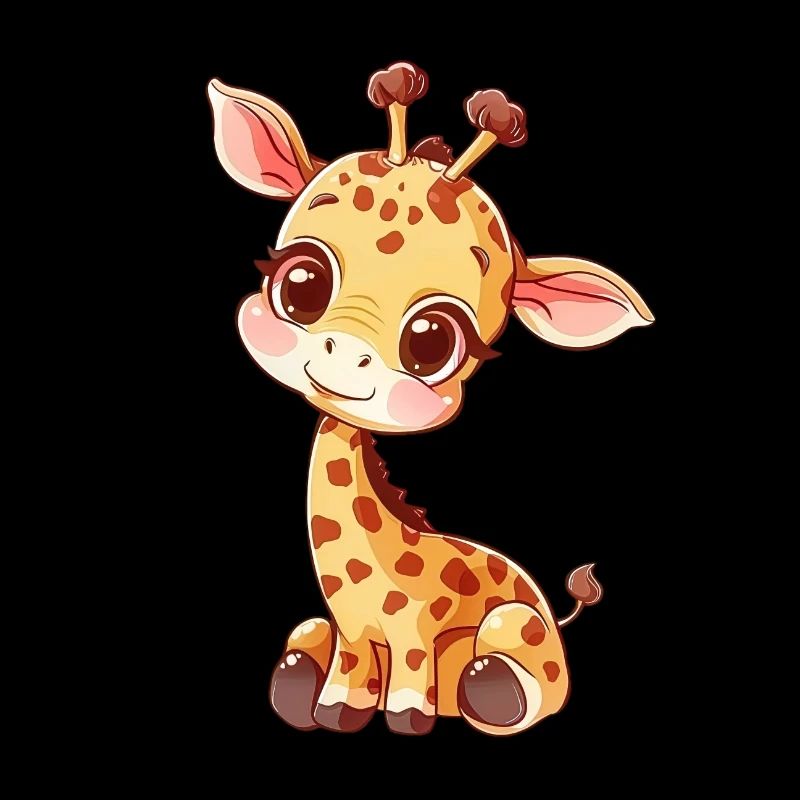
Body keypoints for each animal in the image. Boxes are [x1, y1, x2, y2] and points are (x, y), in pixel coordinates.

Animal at [207, 62, 653, 736]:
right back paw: (295, 679)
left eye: (433, 340)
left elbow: (412, 677)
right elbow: (346, 669)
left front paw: (405, 719)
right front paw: (335, 710)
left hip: (518, 628)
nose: (343, 352)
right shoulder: (352, 630)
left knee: (521, 678)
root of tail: (556, 611)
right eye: (301, 282)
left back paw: (486, 689)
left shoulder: (415, 630)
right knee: (305, 635)